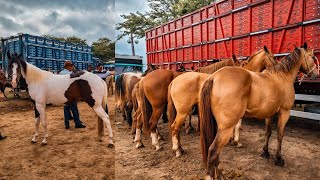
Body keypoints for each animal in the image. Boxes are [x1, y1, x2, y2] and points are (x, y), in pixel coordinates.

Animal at [200, 43, 318, 179]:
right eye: (313, 57)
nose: (316, 74)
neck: (282, 77)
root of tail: (213, 77)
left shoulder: (269, 114)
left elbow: (268, 132)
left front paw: (265, 152)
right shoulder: (284, 112)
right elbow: (280, 135)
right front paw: (279, 159)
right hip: (226, 128)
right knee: (213, 151)